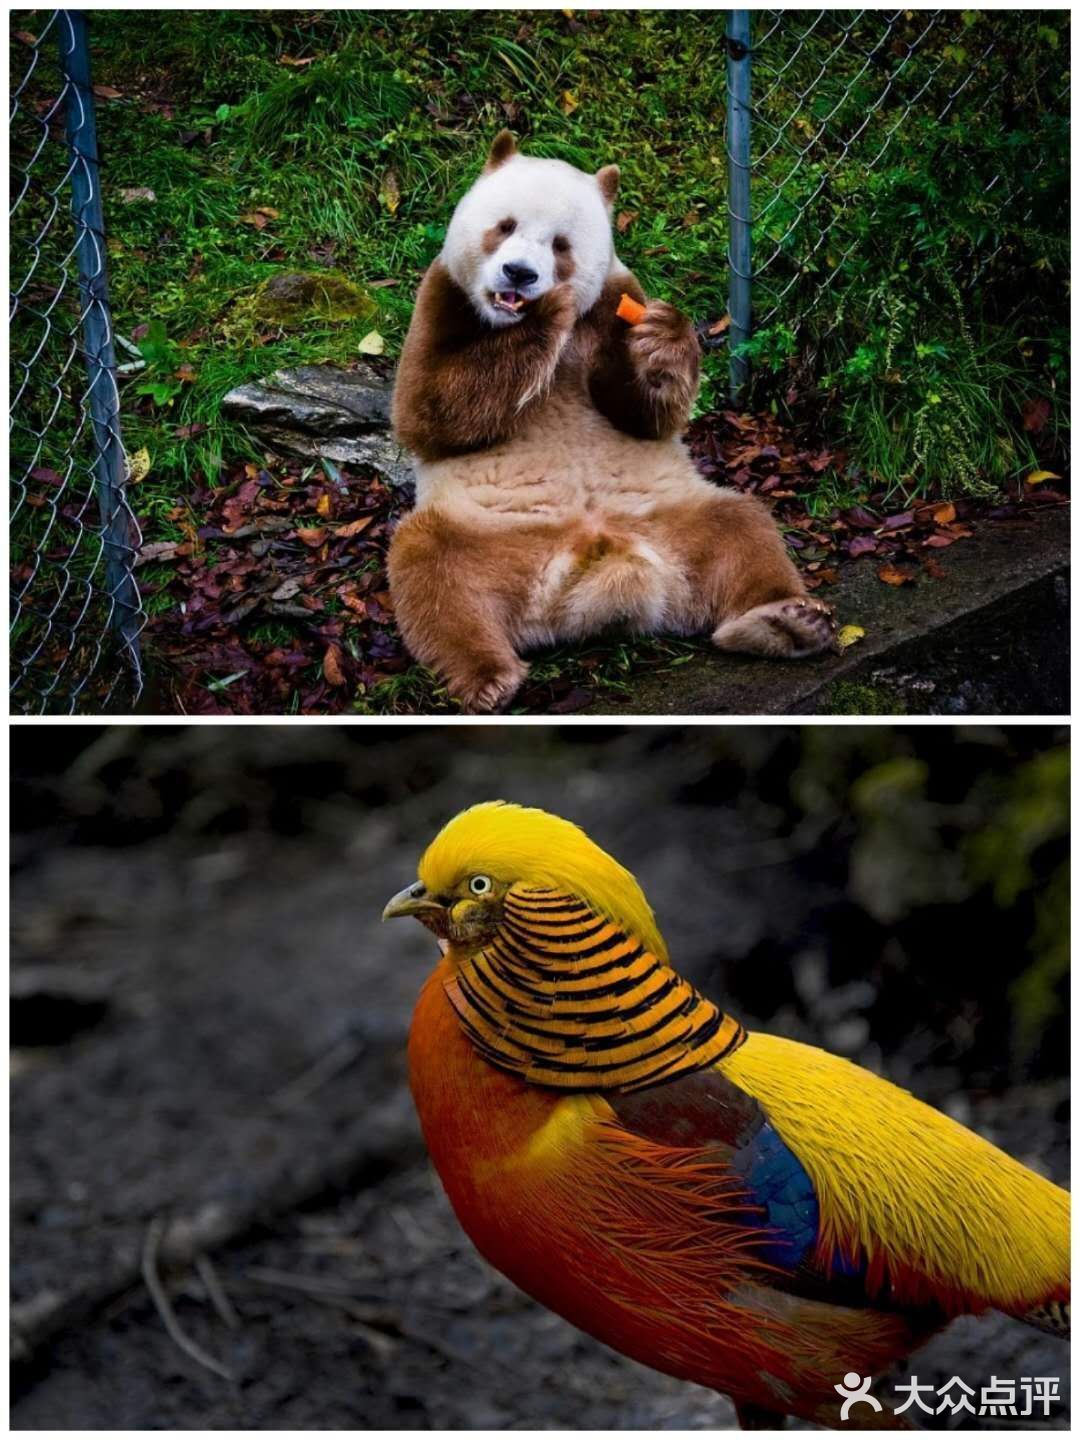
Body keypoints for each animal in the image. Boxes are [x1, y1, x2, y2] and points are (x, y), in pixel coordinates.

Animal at [388, 131, 835, 713]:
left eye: (560, 245)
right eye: (504, 226)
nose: (520, 275)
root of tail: (595, 580)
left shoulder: (616, 296)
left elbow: (644, 414)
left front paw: (664, 337)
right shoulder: (444, 298)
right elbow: (430, 412)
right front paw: (543, 320)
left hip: (672, 516)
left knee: (744, 528)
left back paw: (787, 621)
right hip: (486, 536)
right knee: (432, 572)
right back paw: (487, 677)